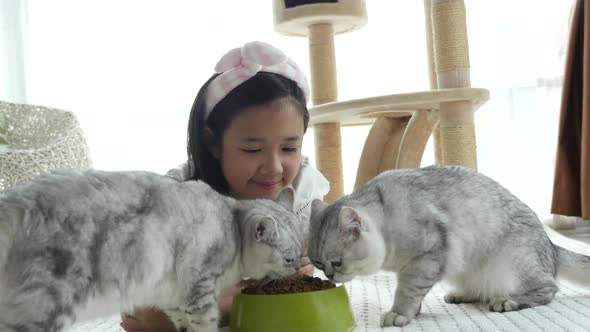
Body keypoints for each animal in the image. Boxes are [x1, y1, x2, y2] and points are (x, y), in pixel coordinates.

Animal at [0, 169, 306, 332]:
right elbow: (207, 325)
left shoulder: (173, 299)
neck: (232, 224)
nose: (295, 268)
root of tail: (14, 201)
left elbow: (183, 326)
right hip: (45, 305)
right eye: (288, 258)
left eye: (301, 254)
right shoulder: (201, 292)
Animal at [310, 165, 590, 326]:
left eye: (337, 262)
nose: (329, 276)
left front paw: (400, 314)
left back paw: (506, 301)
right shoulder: (419, 267)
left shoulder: (426, 257)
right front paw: (414, 312)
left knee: (548, 289)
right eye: (317, 263)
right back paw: (461, 294)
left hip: (514, 265)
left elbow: (407, 292)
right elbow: (414, 293)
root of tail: (551, 246)